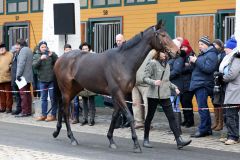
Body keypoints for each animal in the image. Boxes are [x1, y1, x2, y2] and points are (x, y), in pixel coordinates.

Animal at [53, 21, 179, 152]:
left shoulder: (120, 95)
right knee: (65, 111)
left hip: (74, 89)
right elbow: (129, 116)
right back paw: (72, 138)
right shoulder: (117, 93)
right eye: (163, 35)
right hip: (66, 90)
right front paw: (136, 144)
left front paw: (111, 139)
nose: (177, 51)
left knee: (61, 107)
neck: (123, 61)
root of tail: (60, 58)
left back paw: (57, 132)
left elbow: (115, 115)